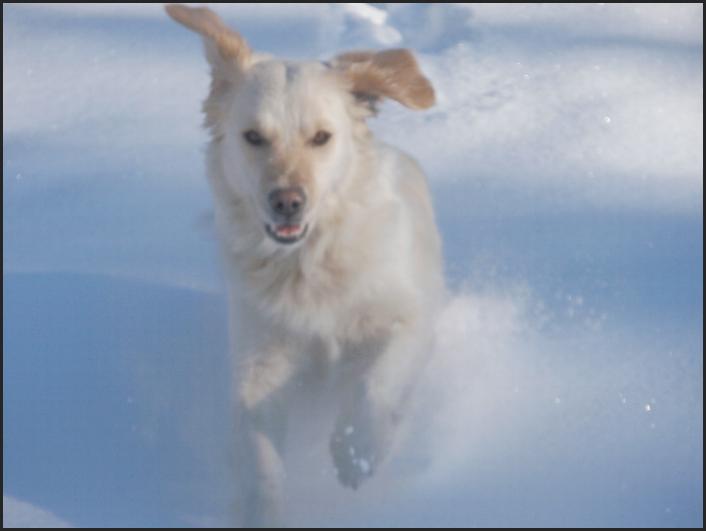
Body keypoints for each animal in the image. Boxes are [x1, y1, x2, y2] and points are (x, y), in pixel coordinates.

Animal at [166, 4, 442, 528]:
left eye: (321, 137)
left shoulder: (407, 319)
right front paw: (261, 508)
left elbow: (376, 382)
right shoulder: (260, 360)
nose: (287, 202)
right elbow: (258, 452)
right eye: (254, 137)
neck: (307, 262)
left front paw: (356, 449)